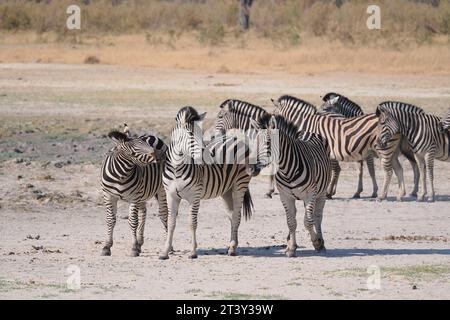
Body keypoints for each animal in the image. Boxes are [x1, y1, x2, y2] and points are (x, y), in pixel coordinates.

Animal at [160, 106, 264, 258]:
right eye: (190, 134)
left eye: (201, 133)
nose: (207, 156)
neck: (176, 169)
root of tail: (235, 139)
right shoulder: (171, 195)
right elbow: (171, 222)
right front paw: (165, 251)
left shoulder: (195, 196)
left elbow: (192, 223)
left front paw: (193, 252)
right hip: (226, 190)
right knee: (231, 215)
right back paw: (231, 245)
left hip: (240, 184)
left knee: (237, 215)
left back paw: (233, 249)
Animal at [255, 114, 332, 256]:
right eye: (256, 142)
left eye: (268, 142)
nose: (252, 168)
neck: (287, 170)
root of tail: (308, 131)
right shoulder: (285, 196)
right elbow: (291, 222)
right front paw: (291, 247)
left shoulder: (310, 194)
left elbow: (308, 222)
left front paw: (316, 242)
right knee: (296, 215)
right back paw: (289, 241)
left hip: (321, 192)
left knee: (317, 216)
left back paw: (321, 243)